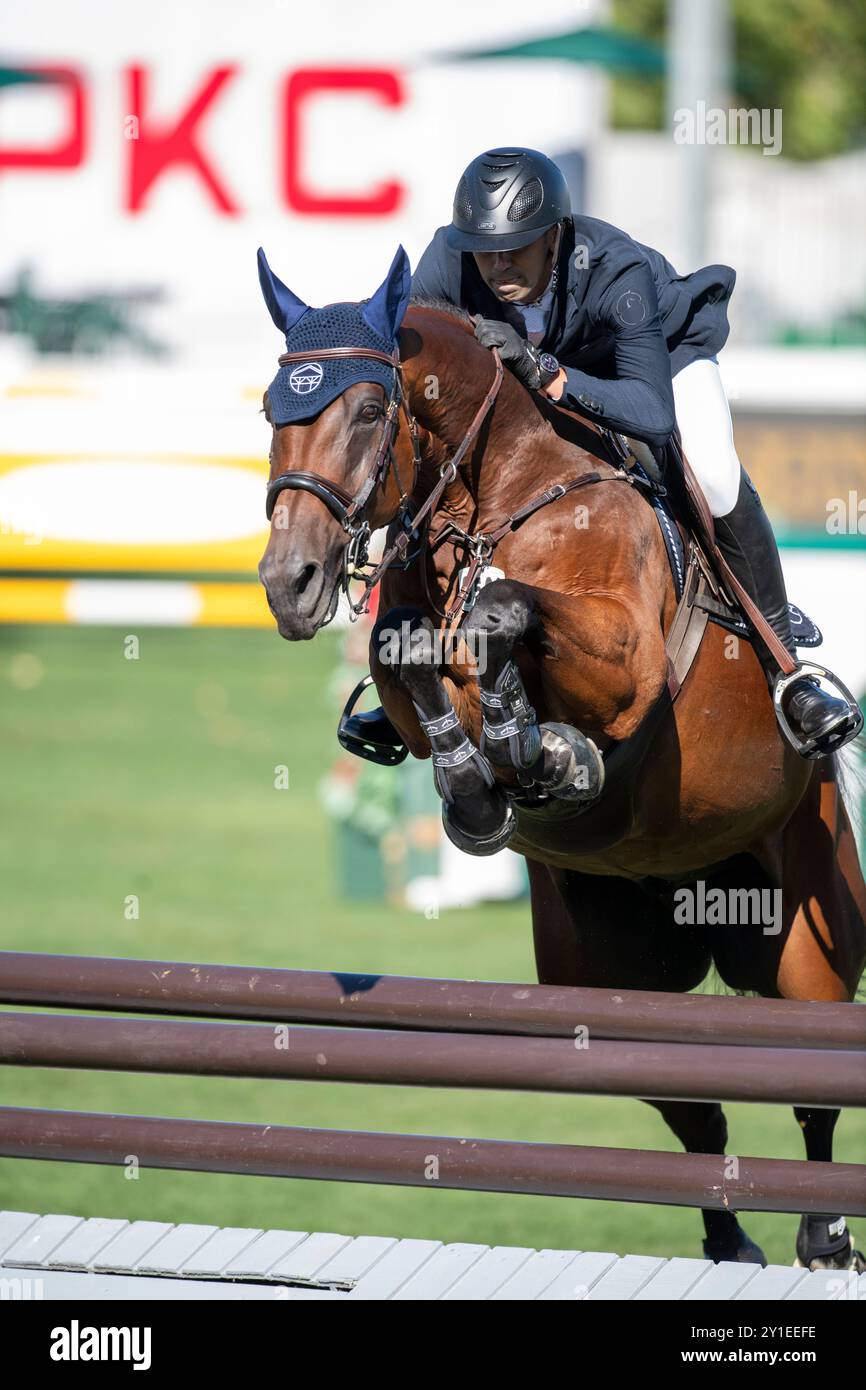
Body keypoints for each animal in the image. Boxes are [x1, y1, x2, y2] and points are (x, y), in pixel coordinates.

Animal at [254, 244, 861, 1267]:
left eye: (371, 411)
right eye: (271, 411)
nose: (288, 585)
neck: (492, 500)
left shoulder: (626, 660)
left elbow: (504, 612)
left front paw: (543, 754)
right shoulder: (410, 652)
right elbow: (406, 650)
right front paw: (484, 785)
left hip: (808, 917)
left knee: (812, 1080)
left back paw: (822, 1236)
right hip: (603, 976)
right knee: (692, 1111)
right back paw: (730, 1243)